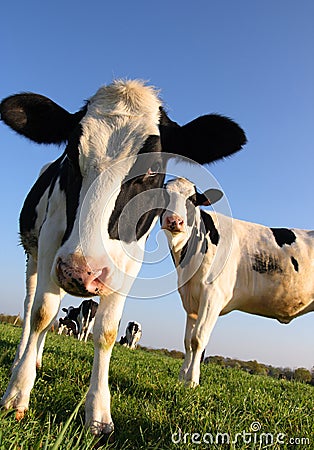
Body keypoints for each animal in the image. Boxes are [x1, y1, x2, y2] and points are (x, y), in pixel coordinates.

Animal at [0, 78, 247, 436]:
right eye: (71, 155)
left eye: (152, 169)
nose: (81, 273)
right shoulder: (50, 239)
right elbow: (42, 313)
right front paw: (18, 395)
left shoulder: (129, 260)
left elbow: (106, 331)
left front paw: (99, 415)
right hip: (35, 255)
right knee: (32, 304)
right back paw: (24, 359)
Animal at [162, 178, 314, 386]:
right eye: (164, 194)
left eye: (192, 200)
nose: (174, 221)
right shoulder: (191, 301)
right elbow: (187, 342)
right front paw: (181, 379)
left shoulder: (213, 296)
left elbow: (198, 339)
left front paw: (192, 381)